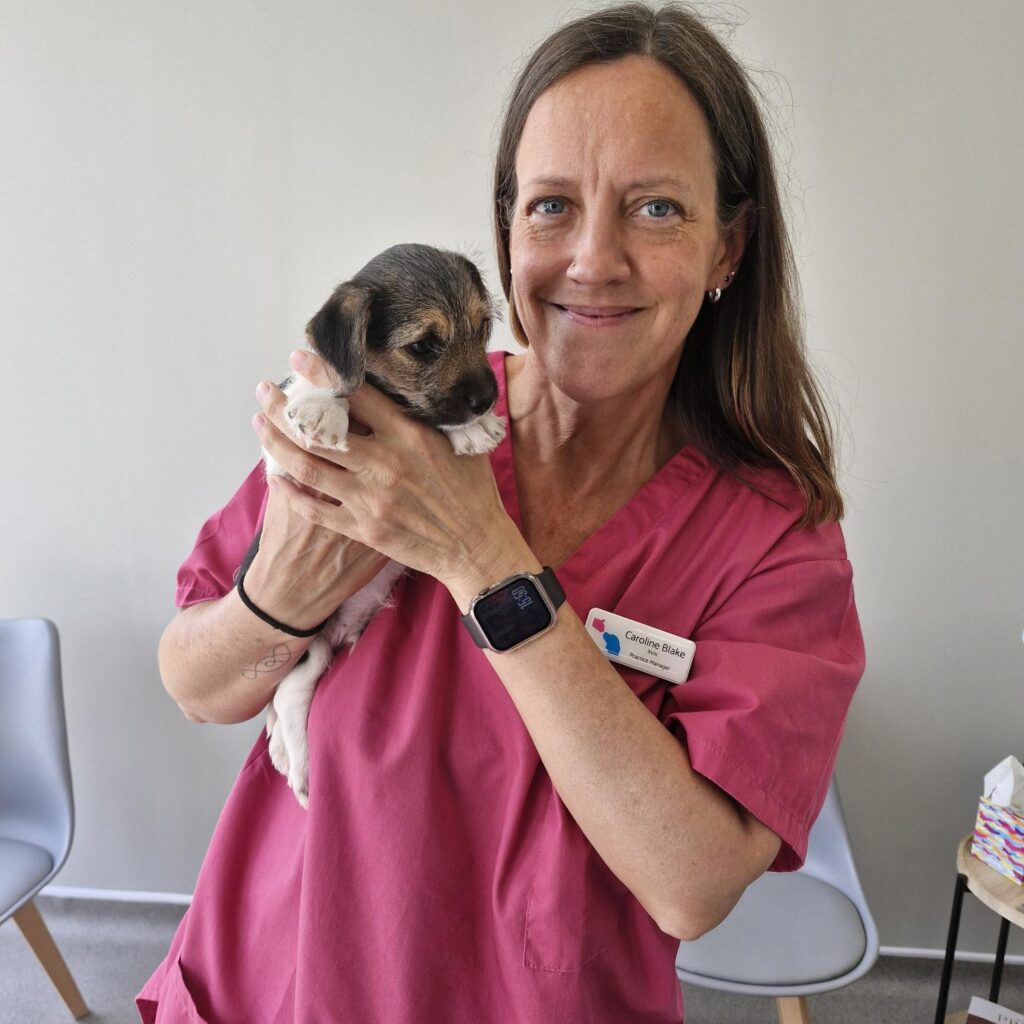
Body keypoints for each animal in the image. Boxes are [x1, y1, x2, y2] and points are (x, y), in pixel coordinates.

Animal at [238, 243, 506, 807]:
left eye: (483, 328)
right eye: (424, 345)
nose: (486, 400)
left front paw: (474, 432)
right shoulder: (282, 459)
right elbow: (327, 382)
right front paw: (323, 409)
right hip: (305, 649)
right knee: (290, 701)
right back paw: (301, 773)